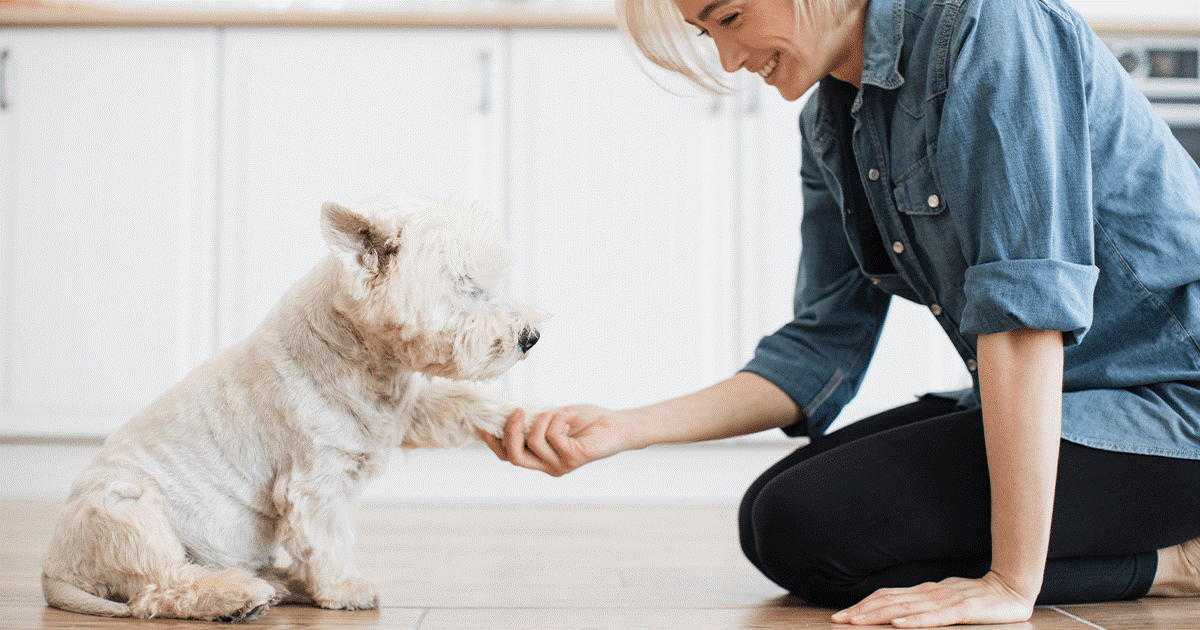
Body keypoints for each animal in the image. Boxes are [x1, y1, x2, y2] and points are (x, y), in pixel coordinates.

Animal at [39, 195, 542, 619]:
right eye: (463, 284)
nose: (531, 337)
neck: (358, 352)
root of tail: (54, 571)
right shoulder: (315, 479)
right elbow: (327, 538)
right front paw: (346, 589)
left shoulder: (402, 412)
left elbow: (454, 402)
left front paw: (523, 420)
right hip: (126, 509)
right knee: (160, 586)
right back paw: (237, 596)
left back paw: (280, 583)